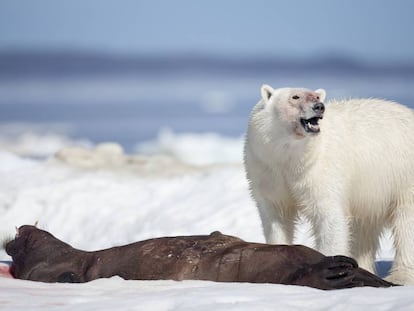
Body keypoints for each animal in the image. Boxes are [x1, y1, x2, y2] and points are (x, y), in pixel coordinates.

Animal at [244, 84, 414, 286]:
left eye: (317, 96)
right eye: (295, 96)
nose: (319, 106)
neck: (291, 158)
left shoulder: (320, 171)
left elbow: (328, 216)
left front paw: (334, 268)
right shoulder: (267, 171)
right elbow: (277, 218)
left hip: (403, 177)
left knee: (406, 223)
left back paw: (400, 276)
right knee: (363, 228)